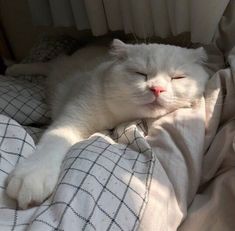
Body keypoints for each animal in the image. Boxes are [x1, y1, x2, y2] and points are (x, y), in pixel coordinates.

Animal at [5, 38, 208, 208]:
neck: (120, 116)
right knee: (50, 64)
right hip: (61, 67)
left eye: (177, 77)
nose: (157, 89)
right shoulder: (73, 117)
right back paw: (13, 68)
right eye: (140, 73)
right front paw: (33, 174)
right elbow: (54, 141)